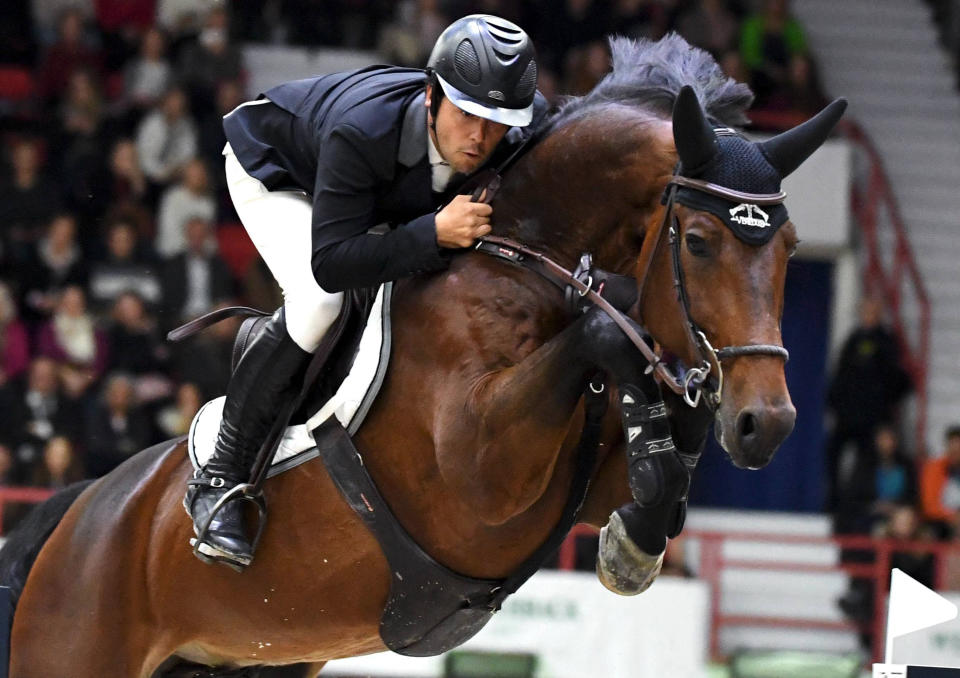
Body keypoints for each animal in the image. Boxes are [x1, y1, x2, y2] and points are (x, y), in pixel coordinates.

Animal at [0, 34, 844, 676]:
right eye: (698, 243)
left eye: (791, 251)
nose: (767, 424)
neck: (525, 260)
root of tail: (82, 509)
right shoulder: (481, 468)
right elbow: (607, 342)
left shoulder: (588, 482)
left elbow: (658, 460)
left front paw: (632, 544)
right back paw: (219, 511)